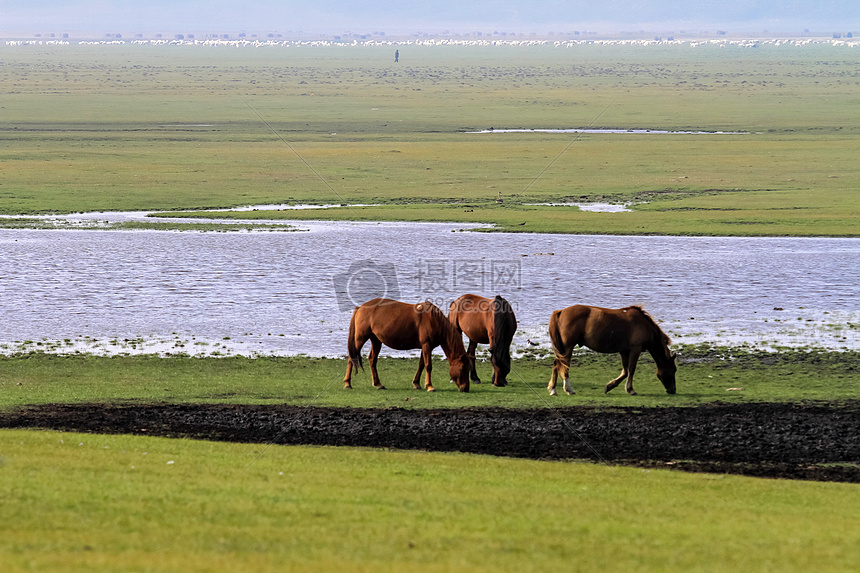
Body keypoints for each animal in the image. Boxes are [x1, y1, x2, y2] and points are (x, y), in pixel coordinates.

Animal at [342, 298, 470, 392]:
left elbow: (421, 365)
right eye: (463, 368)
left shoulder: (425, 347)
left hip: (376, 340)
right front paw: (429, 386)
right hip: (360, 338)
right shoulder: (426, 345)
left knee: (372, 359)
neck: (434, 321)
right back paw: (348, 383)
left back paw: (378, 384)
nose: (466, 388)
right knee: (351, 358)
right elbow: (428, 365)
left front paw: (417, 384)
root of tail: (360, 308)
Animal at [548, 306, 676, 396]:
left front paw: (610, 386)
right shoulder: (635, 349)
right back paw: (568, 389)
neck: (643, 324)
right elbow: (631, 369)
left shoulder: (624, 351)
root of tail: (561, 312)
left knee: (556, 364)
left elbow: (625, 371)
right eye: (674, 370)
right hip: (567, 347)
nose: (673, 390)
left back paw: (553, 389)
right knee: (563, 365)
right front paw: (630, 389)